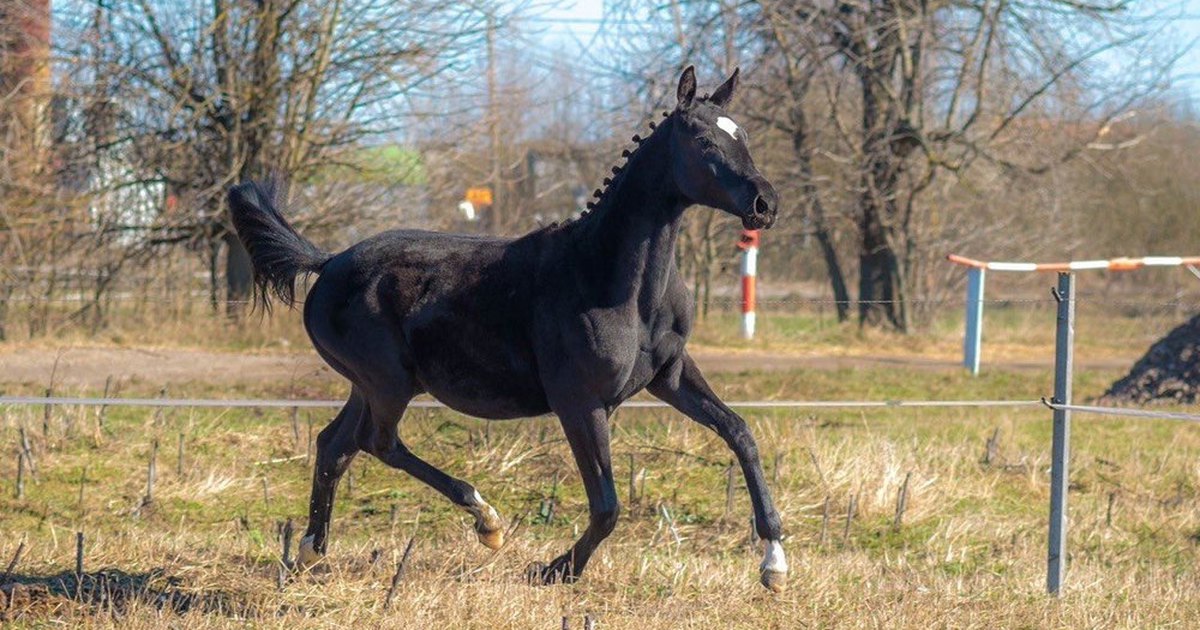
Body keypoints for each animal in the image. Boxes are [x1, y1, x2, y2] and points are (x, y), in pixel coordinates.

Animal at [226, 67, 787, 590]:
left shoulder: (669, 377)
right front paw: (556, 570)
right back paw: (486, 521)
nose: (766, 205)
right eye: (705, 140)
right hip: (388, 382)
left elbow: (740, 432)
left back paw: (310, 552)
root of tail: (328, 262)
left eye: (743, 135)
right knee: (377, 443)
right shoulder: (580, 403)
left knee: (334, 445)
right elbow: (607, 505)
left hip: (370, 385)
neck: (614, 281)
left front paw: (774, 563)